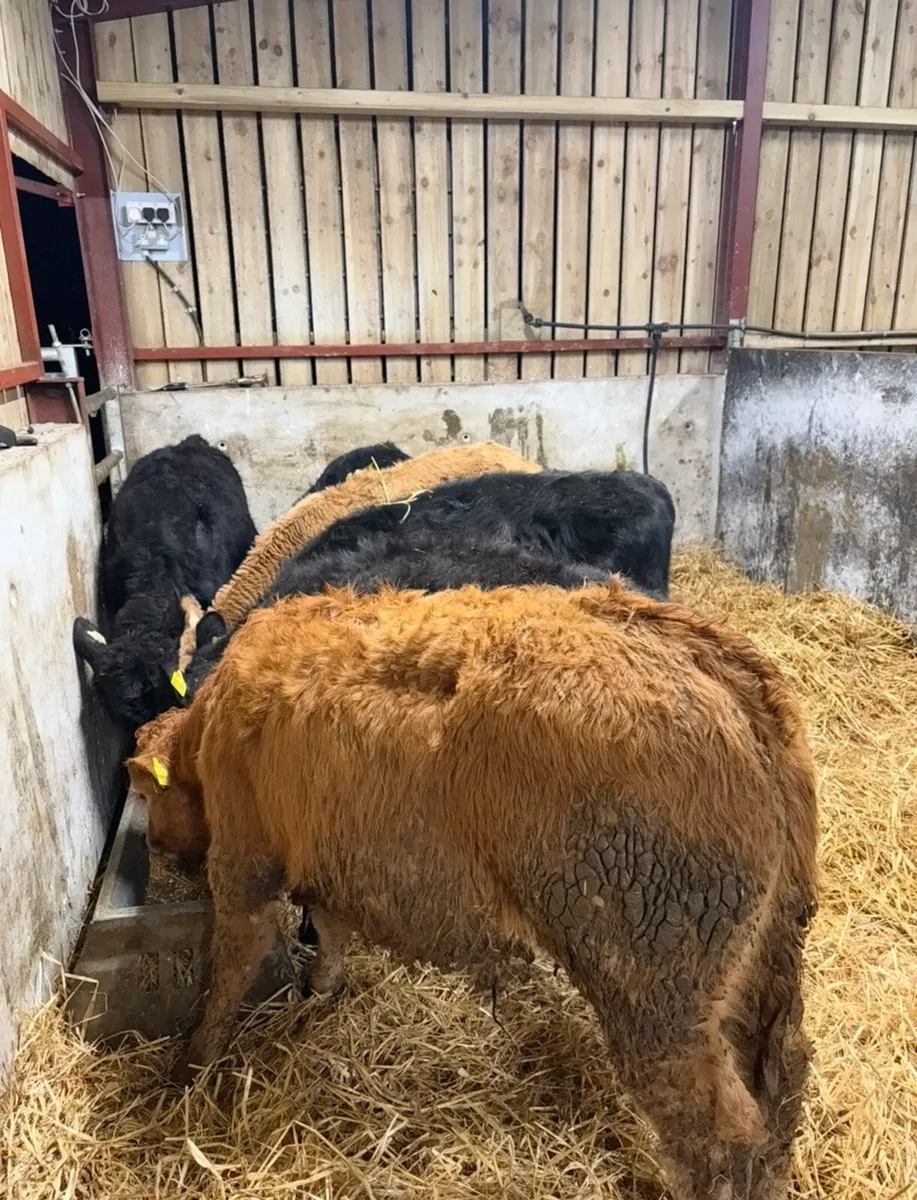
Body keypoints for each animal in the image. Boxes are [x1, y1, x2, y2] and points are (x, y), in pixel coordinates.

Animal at [128, 581, 817, 1200]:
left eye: (146, 796)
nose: (158, 847)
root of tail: (717, 666)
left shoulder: (244, 857)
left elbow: (230, 968)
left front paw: (188, 1073)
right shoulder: (331, 859)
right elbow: (330, 927)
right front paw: (322, 991)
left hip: (656, 982)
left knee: (721, 1137)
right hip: (751, 968)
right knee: (780, 1092)